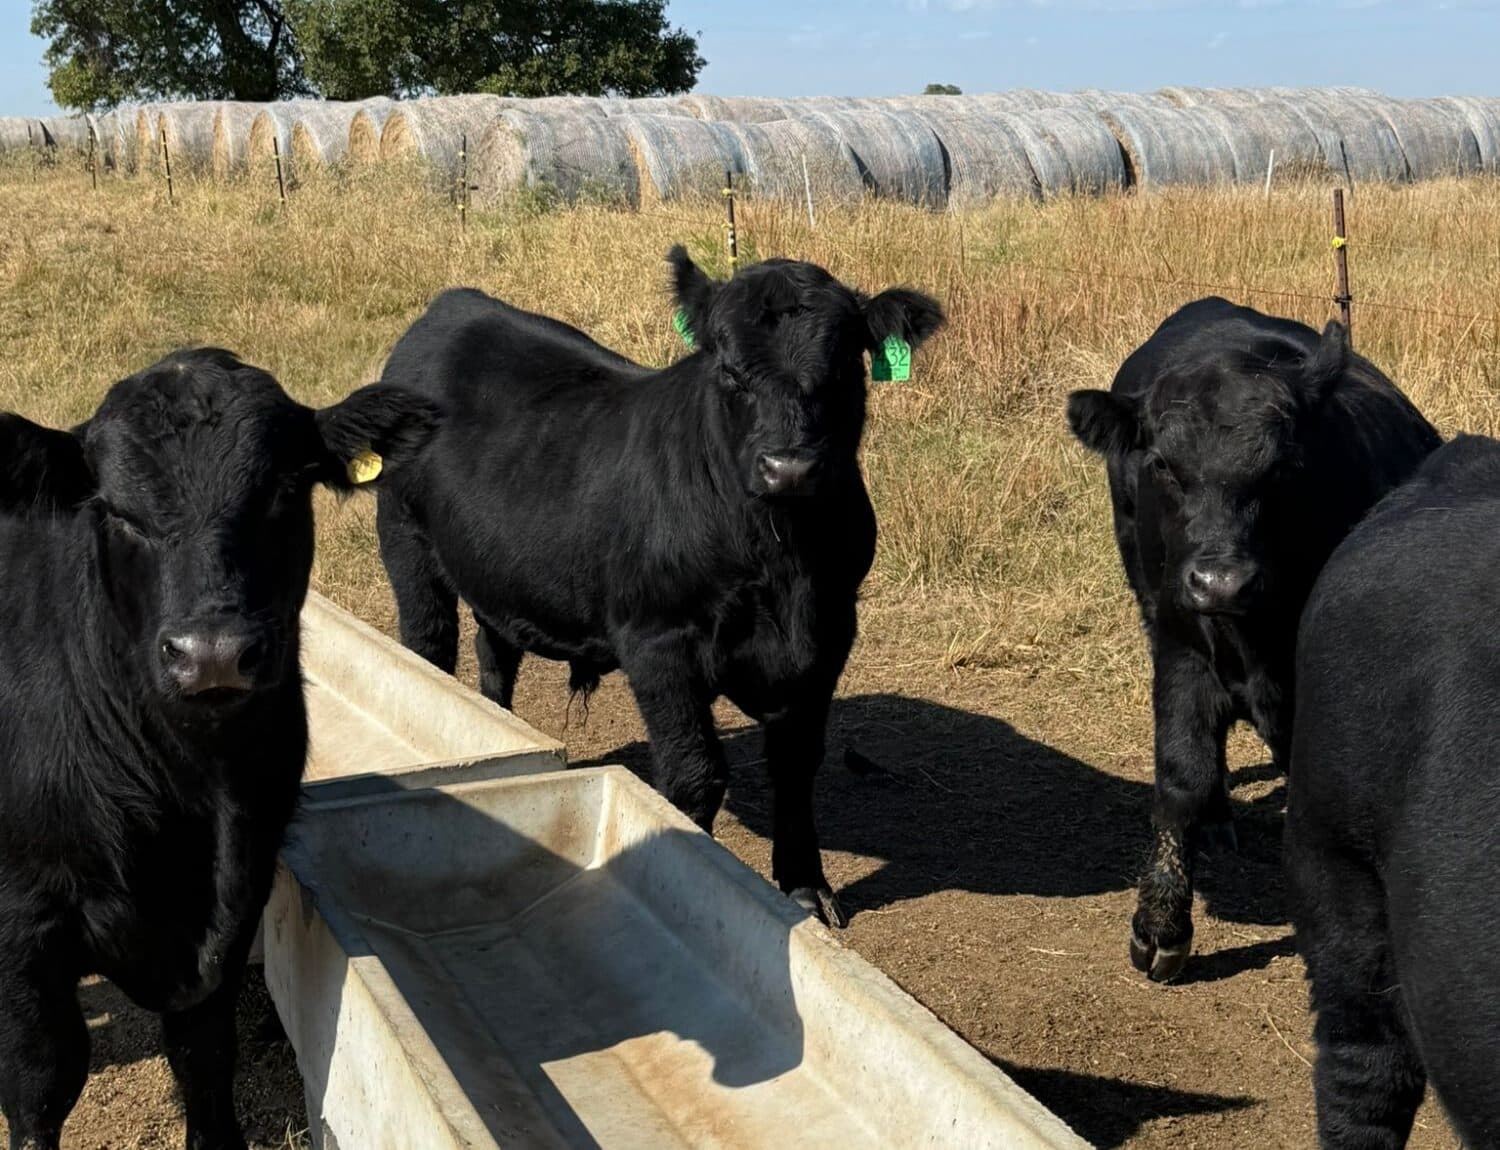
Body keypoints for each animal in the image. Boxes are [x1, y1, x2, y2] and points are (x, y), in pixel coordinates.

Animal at [0, 349, 435, 1150]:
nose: (212, 655)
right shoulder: (21, 922)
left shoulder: (238, 893)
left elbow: (204, 1054)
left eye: (285, 487)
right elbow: (43, 1081)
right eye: (115, 510)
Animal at [374, 246, 944, 927]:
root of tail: (456, 303)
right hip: (405, 540)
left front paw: (806, 888)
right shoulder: (658, 643)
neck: (783, 563)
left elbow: (797, 768)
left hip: (494, 569)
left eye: (842, 369)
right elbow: (693, 775)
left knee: (495, 655)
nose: (789, 468)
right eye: (729, 370)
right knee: (427, 644)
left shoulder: (828, 636)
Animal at [1066, 297, 1439, 981]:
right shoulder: (1177, 642)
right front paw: (1161, 924)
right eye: (1163, 466)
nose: (1221, 580)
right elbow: (1180, 775)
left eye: (1284, 466)